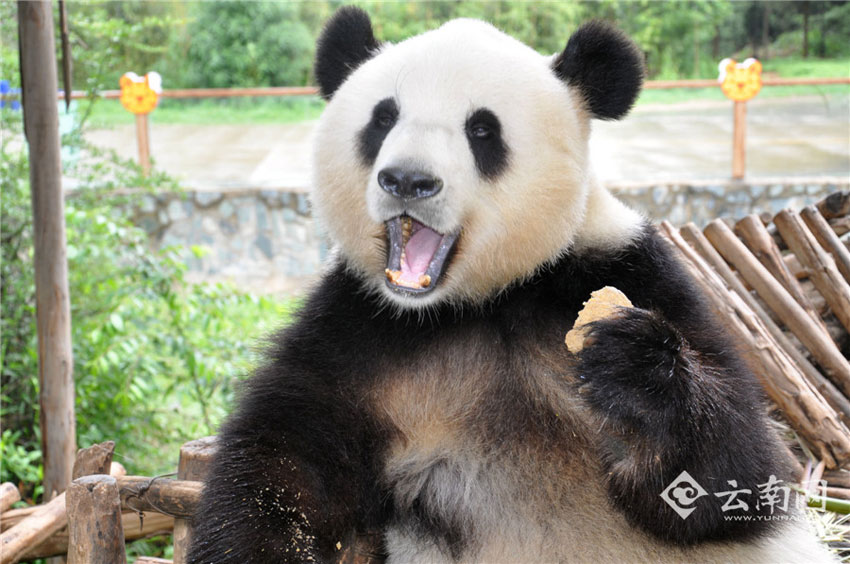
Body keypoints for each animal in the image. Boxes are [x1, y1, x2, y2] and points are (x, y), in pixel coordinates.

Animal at [188, 7, 836, 564]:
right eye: (383, 118)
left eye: (482, 130)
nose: (408, 180)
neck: (478, 302)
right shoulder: (357, 326)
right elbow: (287, 460)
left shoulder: (632, 272)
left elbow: (738, 474)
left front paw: (632, 365)